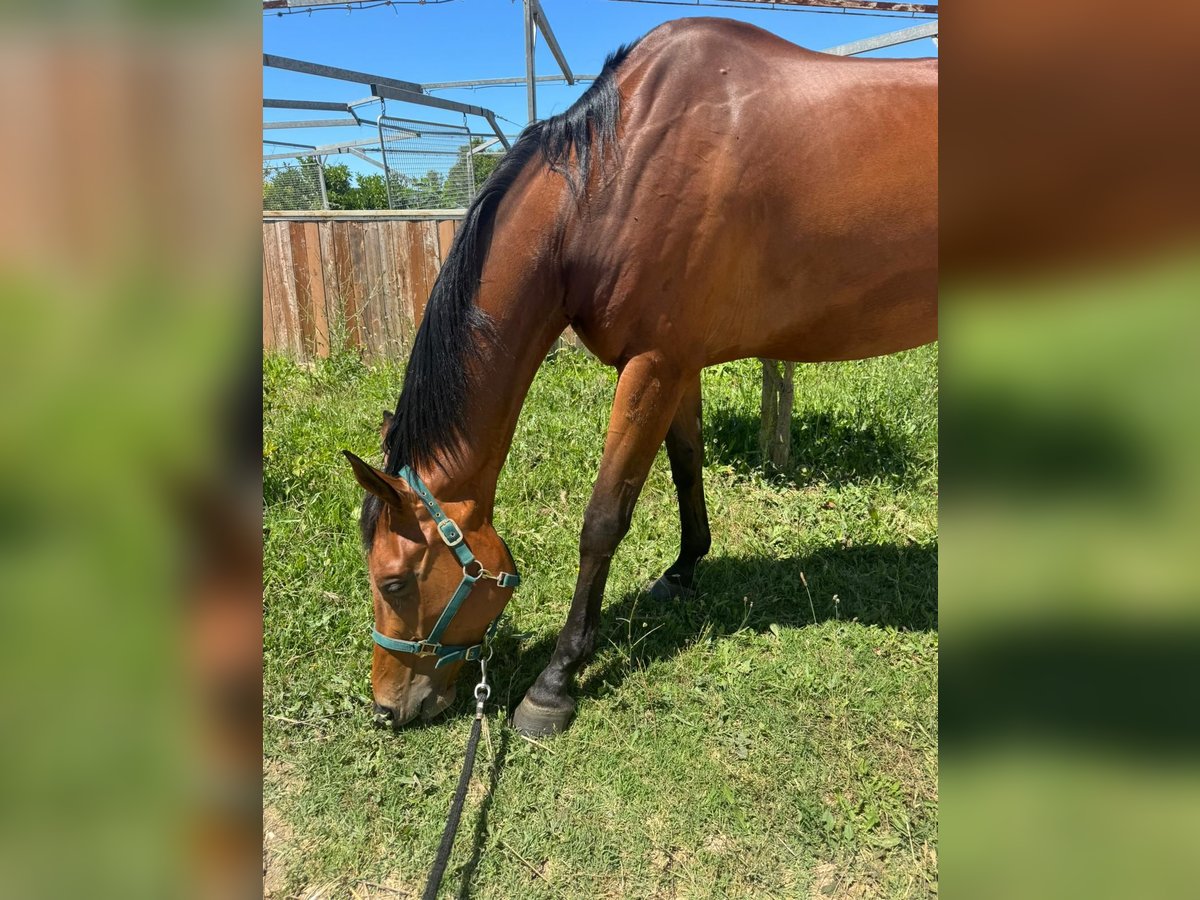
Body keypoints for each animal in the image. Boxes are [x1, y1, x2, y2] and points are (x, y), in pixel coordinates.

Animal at [343, 17, 931, 734]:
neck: (613, 177)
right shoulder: (678, 363)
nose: (386, 708)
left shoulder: (652, 364)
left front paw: (555, 682)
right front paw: (683, 570)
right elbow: (686, 466)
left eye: (394, 581)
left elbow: (603, 519)